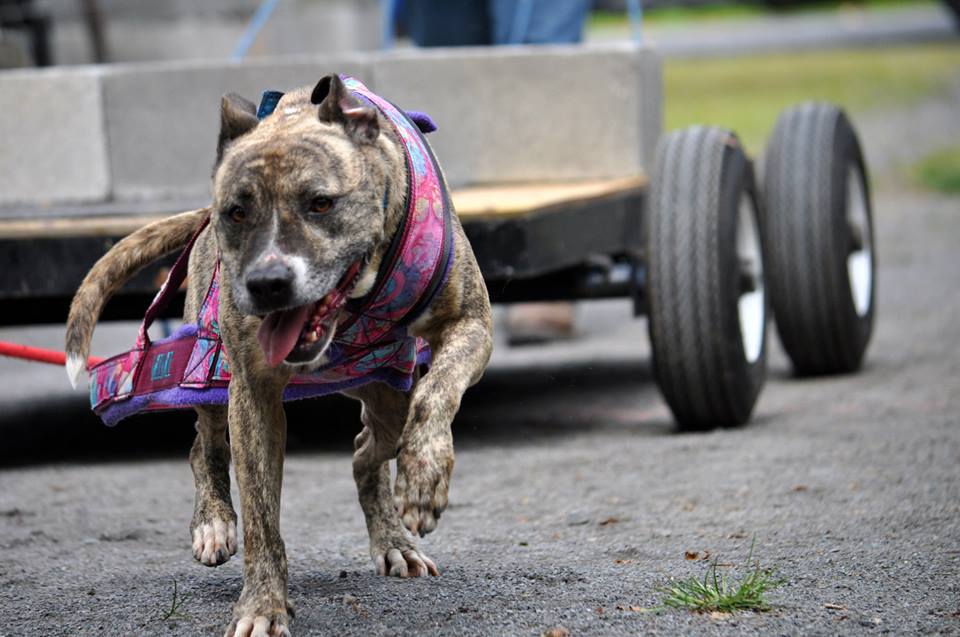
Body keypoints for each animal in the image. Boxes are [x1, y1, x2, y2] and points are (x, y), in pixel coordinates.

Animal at [65, 76, 496, 636]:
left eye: (320, 203)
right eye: (237, 211)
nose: (267, 284)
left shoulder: (471, 325)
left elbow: (437, 391)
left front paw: (423, 476)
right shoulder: (253, 391)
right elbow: (261, 515)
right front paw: (262, 606)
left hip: (385, 391)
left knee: (368, 446)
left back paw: (393, 540)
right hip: (206, 362)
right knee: (204, 445)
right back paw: (213, 522)